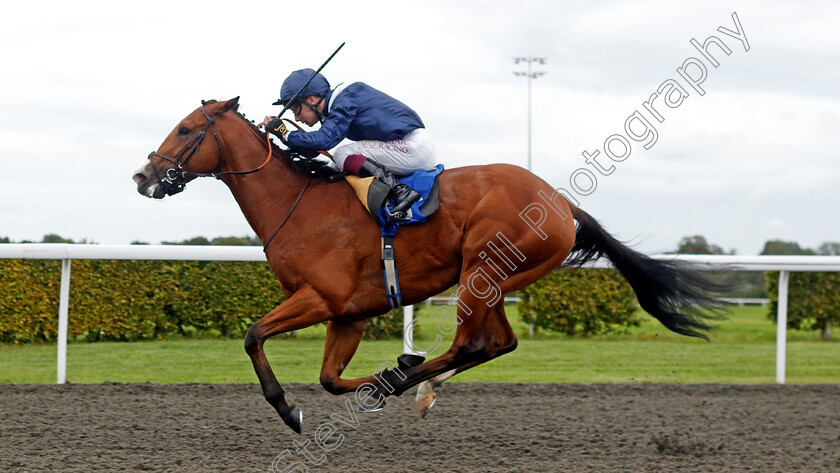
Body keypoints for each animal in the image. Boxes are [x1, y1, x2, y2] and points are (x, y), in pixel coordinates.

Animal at [131, 97, 720, 434]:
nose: (143, 176)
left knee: (472, 343)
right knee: (498, 343)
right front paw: (368, 386)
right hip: (495, 280)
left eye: (185, 129)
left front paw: (290, 410)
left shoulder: (320, 299)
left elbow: (254, 335)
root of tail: (562, 203)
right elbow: (329, 379)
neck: (297, 204)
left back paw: (404, 377)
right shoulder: (349, 314)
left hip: (481, 272)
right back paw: (416, 383)